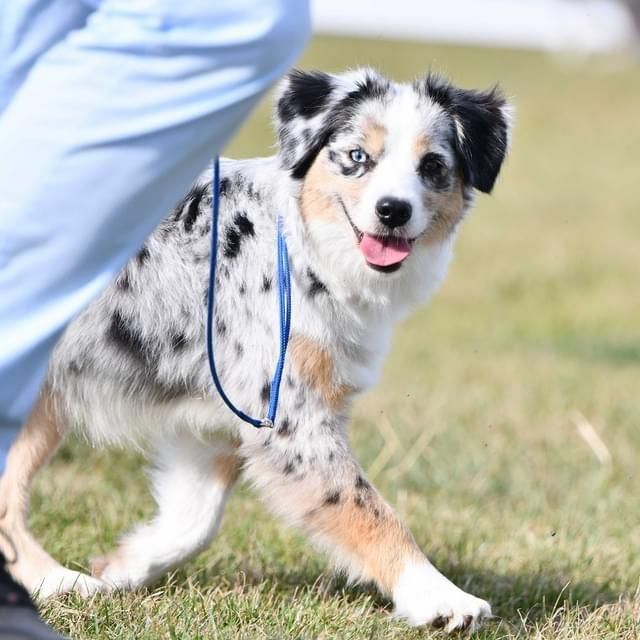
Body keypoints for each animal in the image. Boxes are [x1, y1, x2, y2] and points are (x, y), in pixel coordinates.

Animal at [0, 67, 510, 632]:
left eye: (433, 165)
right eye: (357, 156)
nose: (393, 211)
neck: (303, 246)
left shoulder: (224, 413)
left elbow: (195, 517)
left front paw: (126, 563)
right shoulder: (292, 419)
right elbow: (366, 506)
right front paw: (440, 597)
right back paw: (57, 583)